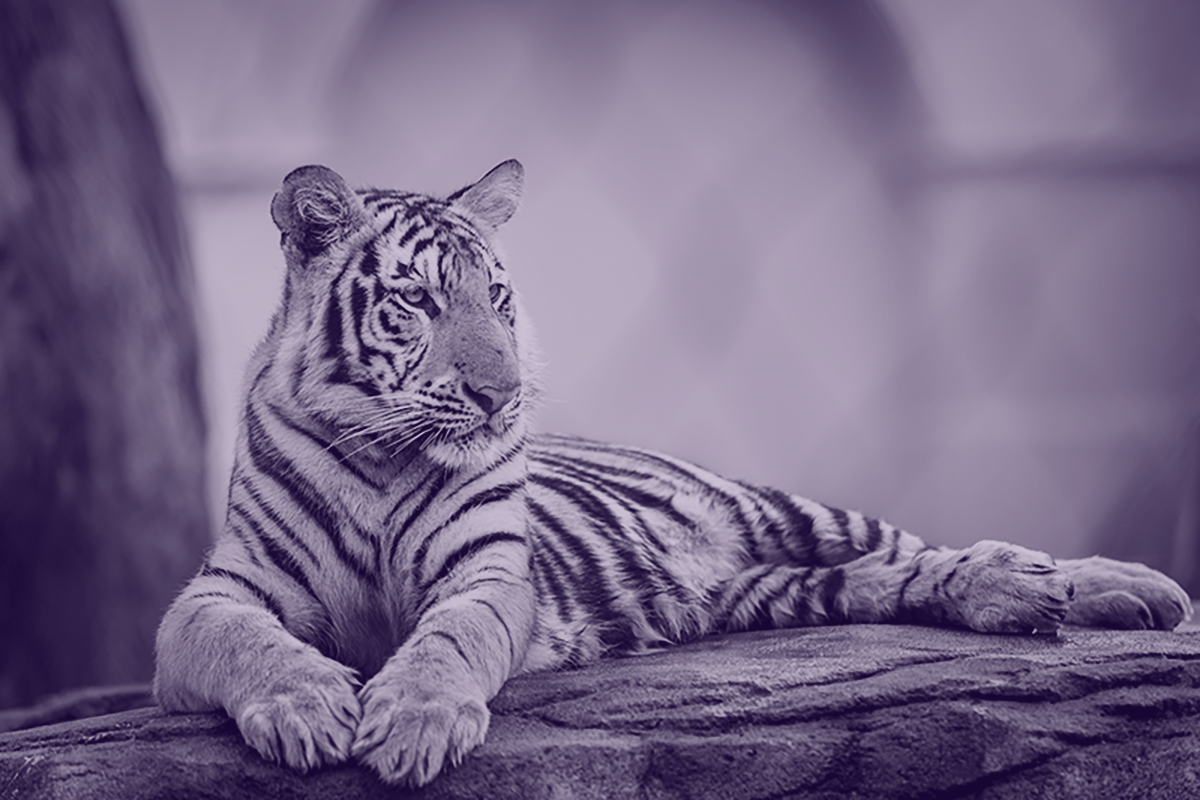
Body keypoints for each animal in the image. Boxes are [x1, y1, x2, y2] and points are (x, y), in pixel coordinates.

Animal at [154, 160, 1194, 787]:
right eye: (418, 302)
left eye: (498, 299)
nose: (502, 397)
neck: (381, 452)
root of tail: (716, 567)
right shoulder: (212, 596)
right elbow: (244, 642)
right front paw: (308, 708)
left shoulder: (486, 576)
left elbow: (450, 641)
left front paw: (413, 723)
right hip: (778, 591)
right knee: (888, 579)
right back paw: (1035, 596)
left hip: (792, 512)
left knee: (924, 546)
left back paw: (1105, 586)